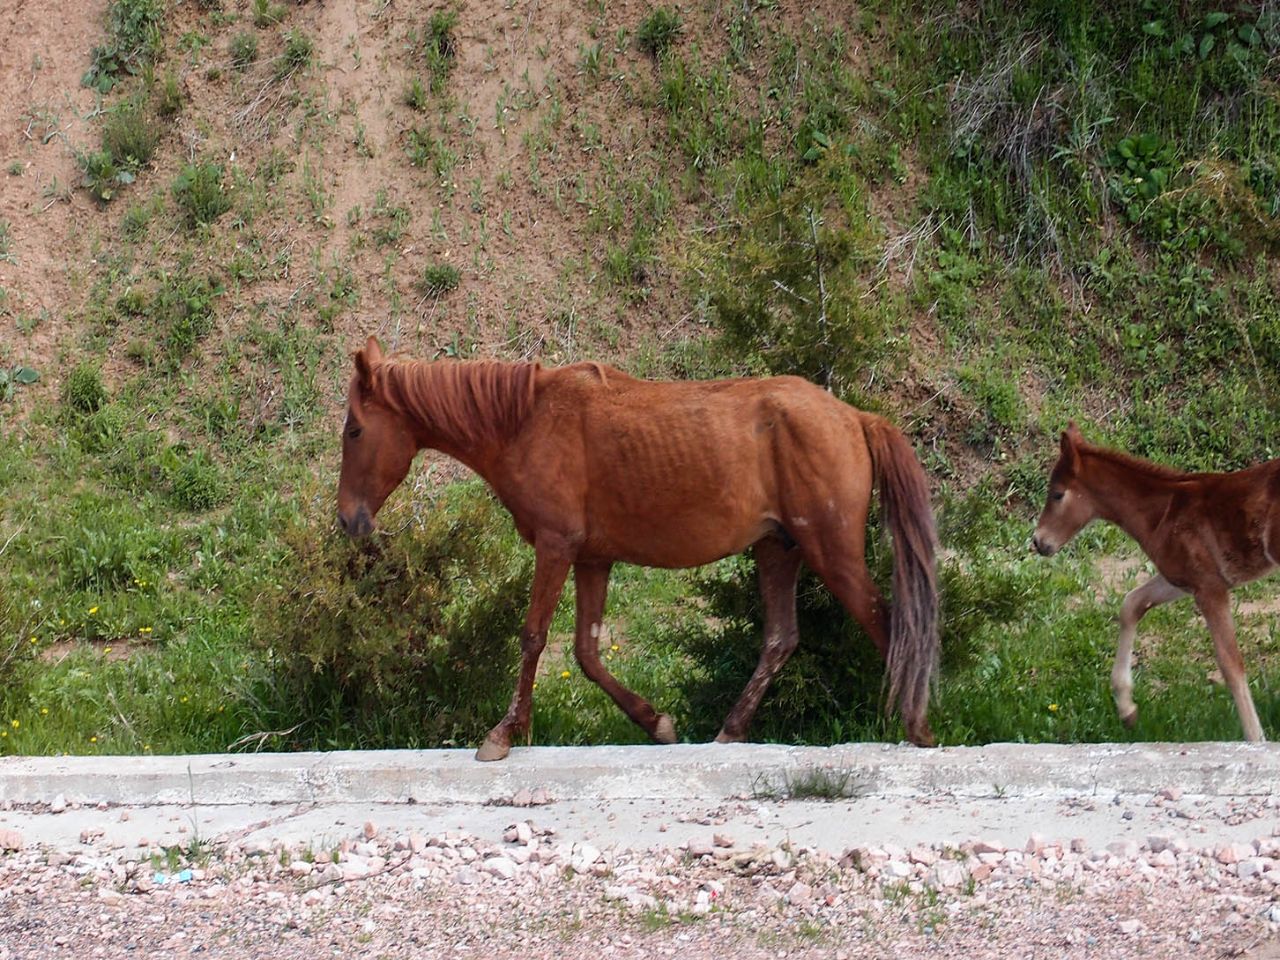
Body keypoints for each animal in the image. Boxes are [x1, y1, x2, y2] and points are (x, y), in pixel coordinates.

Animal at [340, 335, 942, 757]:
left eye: (353, 430)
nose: (349, 519)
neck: (528, 420)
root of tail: (854, 417)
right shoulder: (592, 559)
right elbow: (586, 654)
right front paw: (658, 724)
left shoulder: (556, 547)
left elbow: (533, 638)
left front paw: (504, 733)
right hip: (779, 549)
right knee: (781, 639)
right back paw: (729, 732)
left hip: (831, 551)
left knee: (888, 623)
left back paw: (917, 727)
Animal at [1034, 424, 1274, 747]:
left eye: (1058, 494)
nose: (1038, 541)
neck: (1162, 511)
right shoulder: (1182, 580)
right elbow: (1131, 604)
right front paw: (1127, 709)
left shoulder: (1209, 586)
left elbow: (1230, 662)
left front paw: (1255, 738)